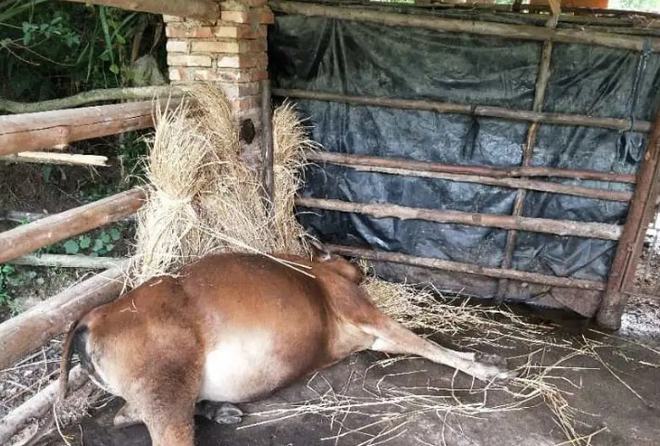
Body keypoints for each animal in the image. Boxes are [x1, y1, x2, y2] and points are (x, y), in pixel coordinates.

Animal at [59, 251, 512, 446]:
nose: (359, 268)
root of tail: (92, 315)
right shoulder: (360, 310)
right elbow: (422, 342)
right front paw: (486, 367)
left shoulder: (370, 333)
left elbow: (418, 345)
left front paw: (473, 358)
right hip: (164, 381)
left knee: (122, 414)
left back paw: (219, 409)